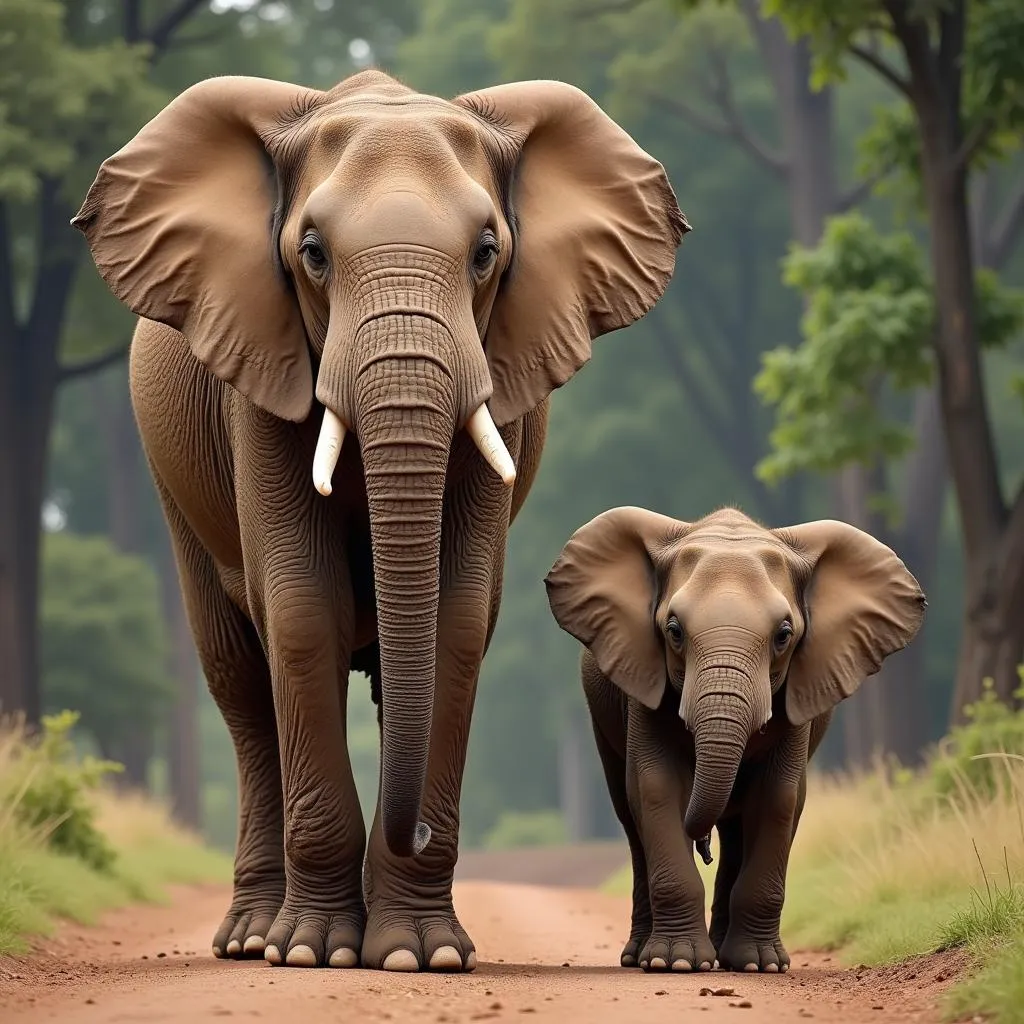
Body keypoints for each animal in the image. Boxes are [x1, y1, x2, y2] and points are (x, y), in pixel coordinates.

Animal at [72, 68, 688, 970]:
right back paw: (254, 937)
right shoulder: (260, 373)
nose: (420, 830)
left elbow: (455, 620)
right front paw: (314, 952)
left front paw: (416, 955)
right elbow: (301, 610)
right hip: (170, 479)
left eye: (486, 253)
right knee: (238, 679)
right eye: (313, 255)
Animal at [548, 507, 925, 970]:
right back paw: (641, 957)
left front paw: (760, 965)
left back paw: (731, 958)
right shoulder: (643, 685)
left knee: (736, 827)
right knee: (630, 815)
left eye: (784, 635)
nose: (701, 845)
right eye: (674, 630)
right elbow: (655, 787)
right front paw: (676, 962)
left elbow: (779, 797)